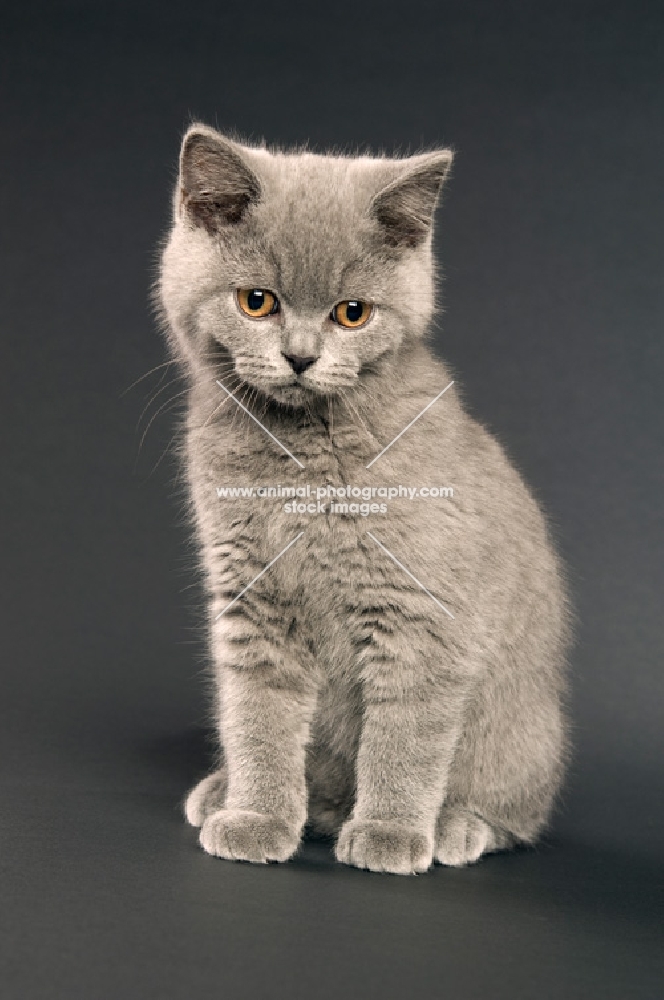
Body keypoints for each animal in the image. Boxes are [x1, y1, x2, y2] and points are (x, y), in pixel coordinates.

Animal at [156, 123, 572, 876]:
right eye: (257, 301)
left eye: (353, 314)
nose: (299, 357)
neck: (301, 457)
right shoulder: (252, 600)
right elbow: (257, 715)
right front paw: (258, 817)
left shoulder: (421, 612)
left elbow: (406, 733)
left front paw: (391, 833)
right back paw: (241, 795)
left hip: (518, 736)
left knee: (515, 811)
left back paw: (452, 826)